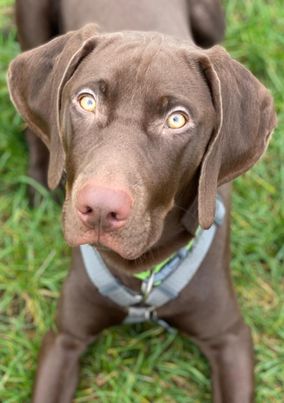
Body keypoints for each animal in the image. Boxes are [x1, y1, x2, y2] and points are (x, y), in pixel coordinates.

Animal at [7, 0, 276, 403]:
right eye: (87, 101)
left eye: (177, 120)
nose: (101, 209)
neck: (142, 277)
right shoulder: (64, 338)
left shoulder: (230, 338)